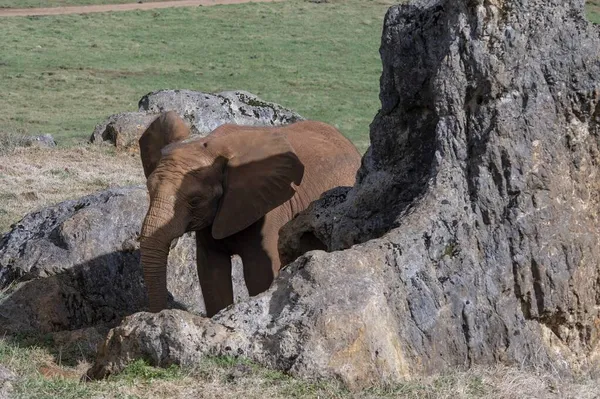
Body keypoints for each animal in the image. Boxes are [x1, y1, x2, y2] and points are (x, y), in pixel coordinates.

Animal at [137, 111, 360, 318]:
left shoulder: (268, 210)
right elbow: (211, 274)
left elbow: (258, 274)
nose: (158, 315)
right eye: (148, 190)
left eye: (195, 200)